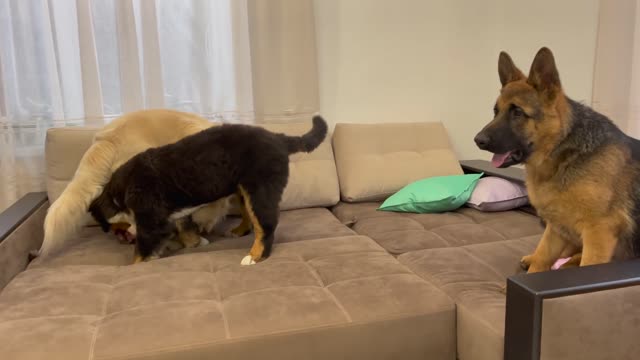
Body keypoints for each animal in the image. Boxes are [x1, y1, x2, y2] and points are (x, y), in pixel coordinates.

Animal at [87, 115, 328, 264]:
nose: (119, 236)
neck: (121, 192)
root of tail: (277, 137)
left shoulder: (151, 221)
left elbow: (141, 251)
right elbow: (183, 227)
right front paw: (194, 242)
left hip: (260, 189)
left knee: (265, 225)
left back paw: (255, 256)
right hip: (243, 189)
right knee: (250, 216)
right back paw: (239, 231)